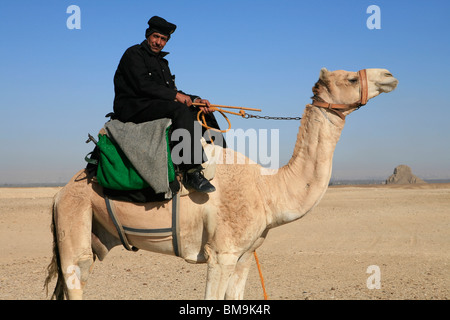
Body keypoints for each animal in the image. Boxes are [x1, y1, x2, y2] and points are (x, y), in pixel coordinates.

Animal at [44, 67, 398, 300]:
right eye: (350, 78)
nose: (389, 75)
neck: (268, 190)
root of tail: (59, 194)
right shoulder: (221, 253)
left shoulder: (244, 256)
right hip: (74, 219)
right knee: (76, 275)